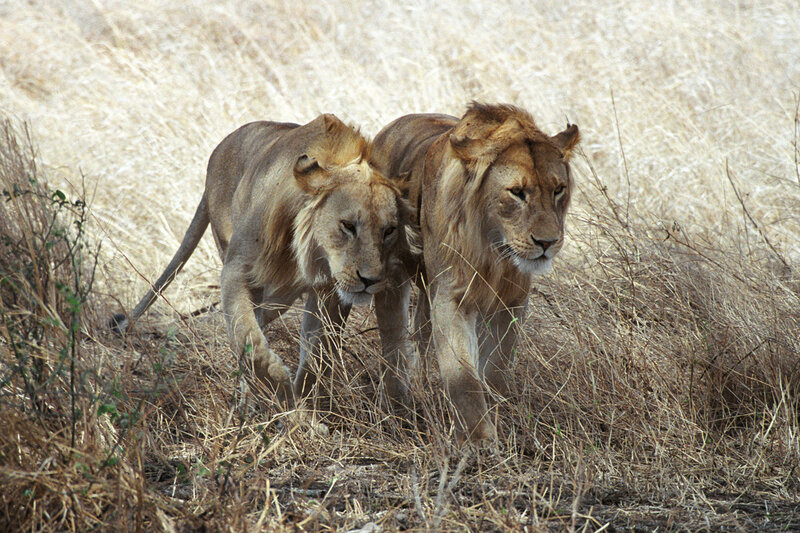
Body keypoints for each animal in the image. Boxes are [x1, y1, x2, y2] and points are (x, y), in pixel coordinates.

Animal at [111, 113, 417, 405]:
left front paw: (305, 410)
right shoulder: (236, 272)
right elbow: (250, 341)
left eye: (389, 230)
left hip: (279, 299)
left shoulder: (329, 292)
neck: (306, 253)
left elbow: (316, 357)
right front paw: (279, 391)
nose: (371, 280)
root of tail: (218, 150)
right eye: (348, 226)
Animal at [370, 103, 580, 441]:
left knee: (420, 334)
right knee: (394, 341)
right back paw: (396, 405)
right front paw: (478, 440)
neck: (494, 250)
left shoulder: (511, 300)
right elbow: (463, 378)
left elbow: (496, 369)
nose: (547, 243)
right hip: (391, 279)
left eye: (558, 190)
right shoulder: (452, 297)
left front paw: (499, 415)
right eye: (517, 192)